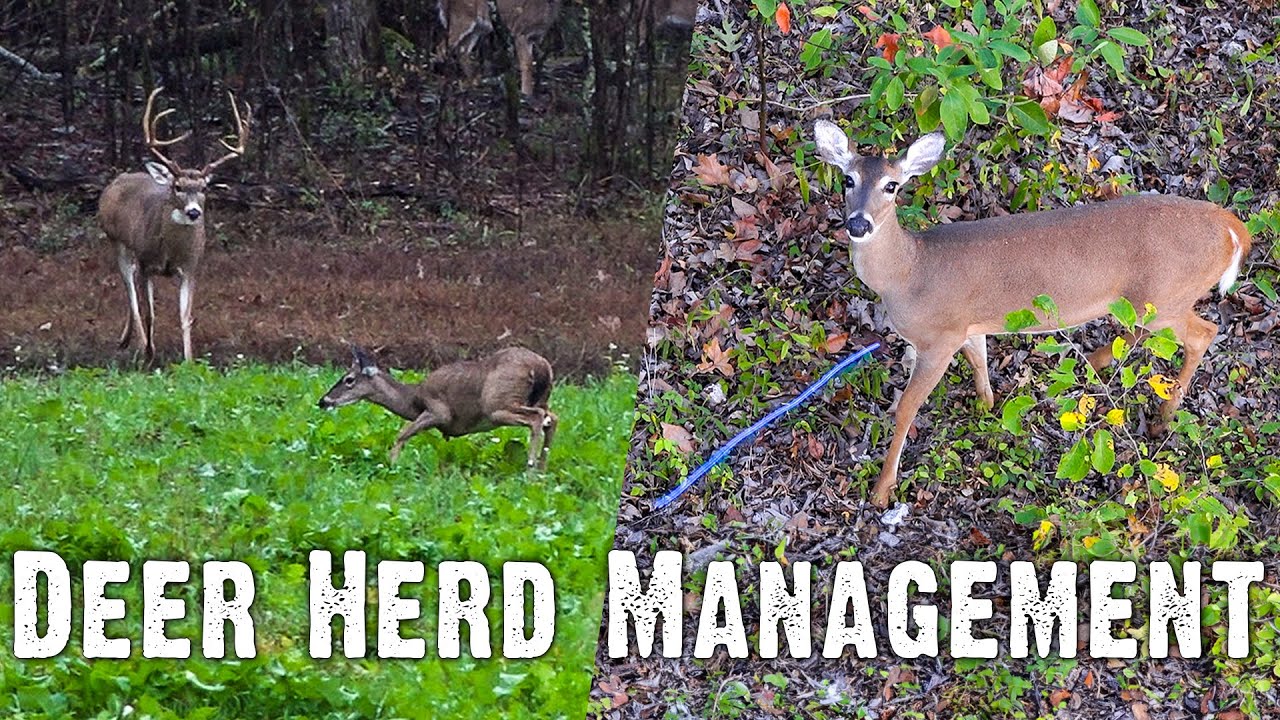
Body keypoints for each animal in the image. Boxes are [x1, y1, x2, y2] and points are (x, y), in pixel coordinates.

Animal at [98, 87, 250, 364]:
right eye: (178, 186)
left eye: (204, 188)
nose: (193, 211)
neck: (170, 252)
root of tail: (119, 179)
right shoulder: (147, 262)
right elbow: (149, 312)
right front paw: (149, 353)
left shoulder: (191, 266)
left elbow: (186, 316)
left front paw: (189, 360)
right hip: (117, 241)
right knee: (129, 288)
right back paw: (137, 343)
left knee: (131, 283)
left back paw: (126, 338)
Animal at [317, 346, 559, 468]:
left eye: (349, 379)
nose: (323, 401)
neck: (414, 399)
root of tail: (541, 367)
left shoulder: (439, 411)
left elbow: (402, 434)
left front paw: (391, 466)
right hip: (539, 399)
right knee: (552, 419)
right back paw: (541, 470)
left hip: (498, 405)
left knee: (537, 418)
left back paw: (530, 468)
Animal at [813, 119, 1252, 509]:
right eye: (848, 179)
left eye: (892, 185)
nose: (858, 224)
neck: (909, 272)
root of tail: (1232, 228)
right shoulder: (968, 324)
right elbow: (980, 363)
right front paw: (987, 406)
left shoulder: (939, 337)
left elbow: (905, 409)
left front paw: (882, 490)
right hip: (1150, 301)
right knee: (1147, 333)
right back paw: (1095, 363)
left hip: (1166, 296)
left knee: (1203, 332)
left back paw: (1164, 414)